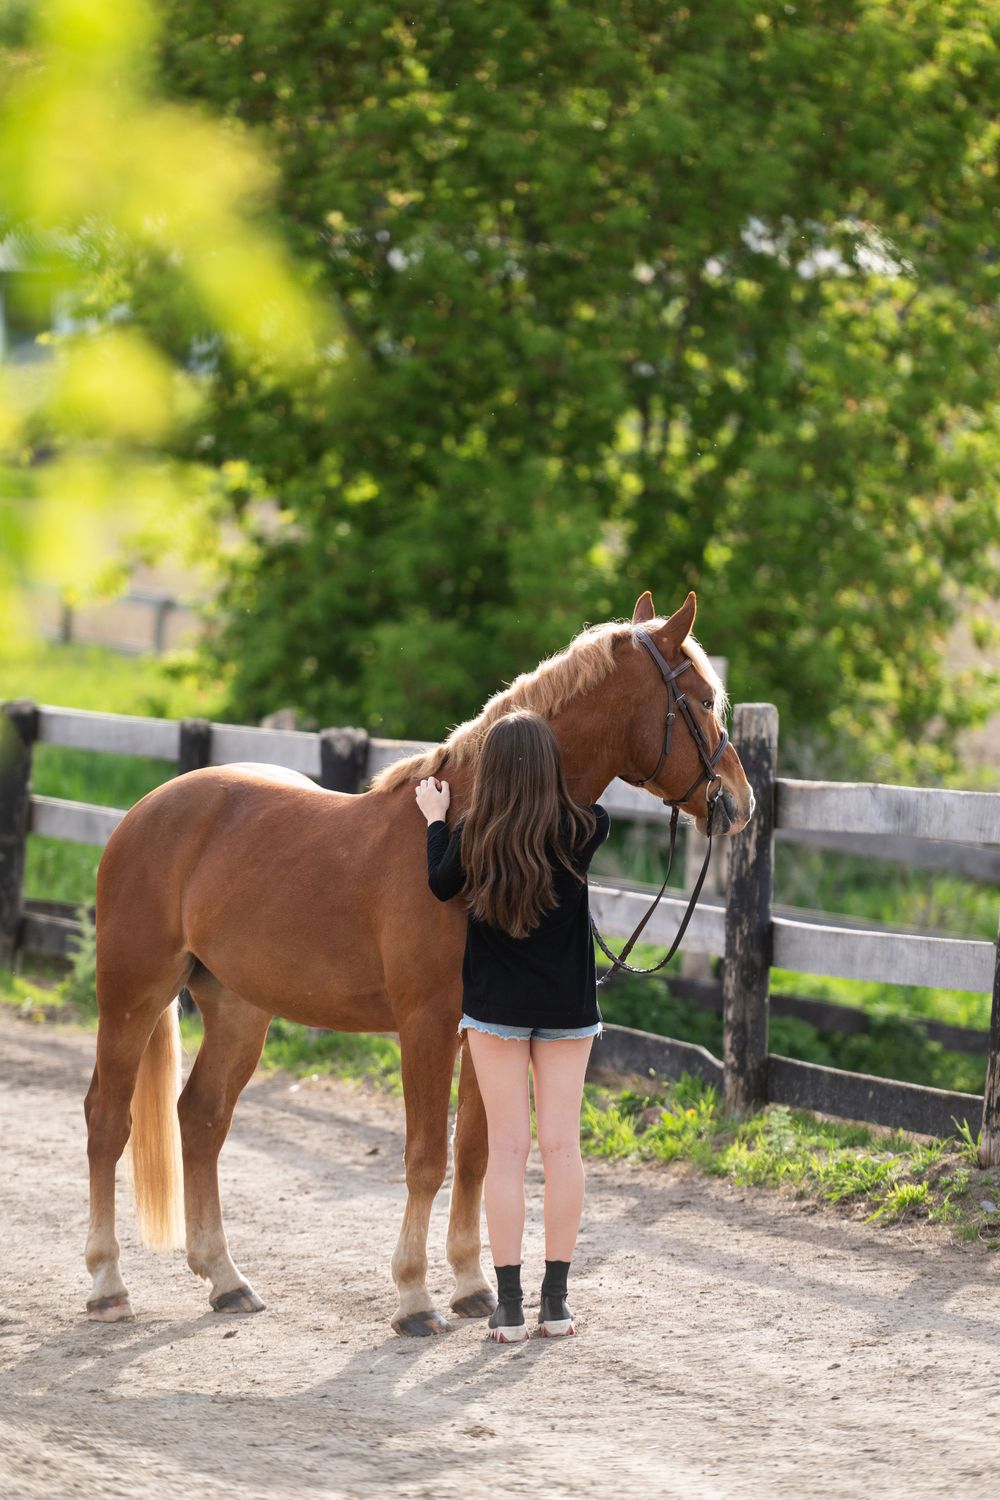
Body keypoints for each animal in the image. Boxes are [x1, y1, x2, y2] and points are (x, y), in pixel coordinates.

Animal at [84, 588, 754, 1334]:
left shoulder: (485, 1030)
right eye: (701, 699)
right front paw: (414, 1297)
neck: (480, 828)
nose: (740, 801)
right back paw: (109, 1285)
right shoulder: (426, 1027)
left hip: (237, 1008)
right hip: (133, 997)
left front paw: (471, 1287)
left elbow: (476, 1155)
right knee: (108, 1121)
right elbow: (427, 1157)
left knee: (200, 1119)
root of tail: (145, 812)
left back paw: (226, 1280)